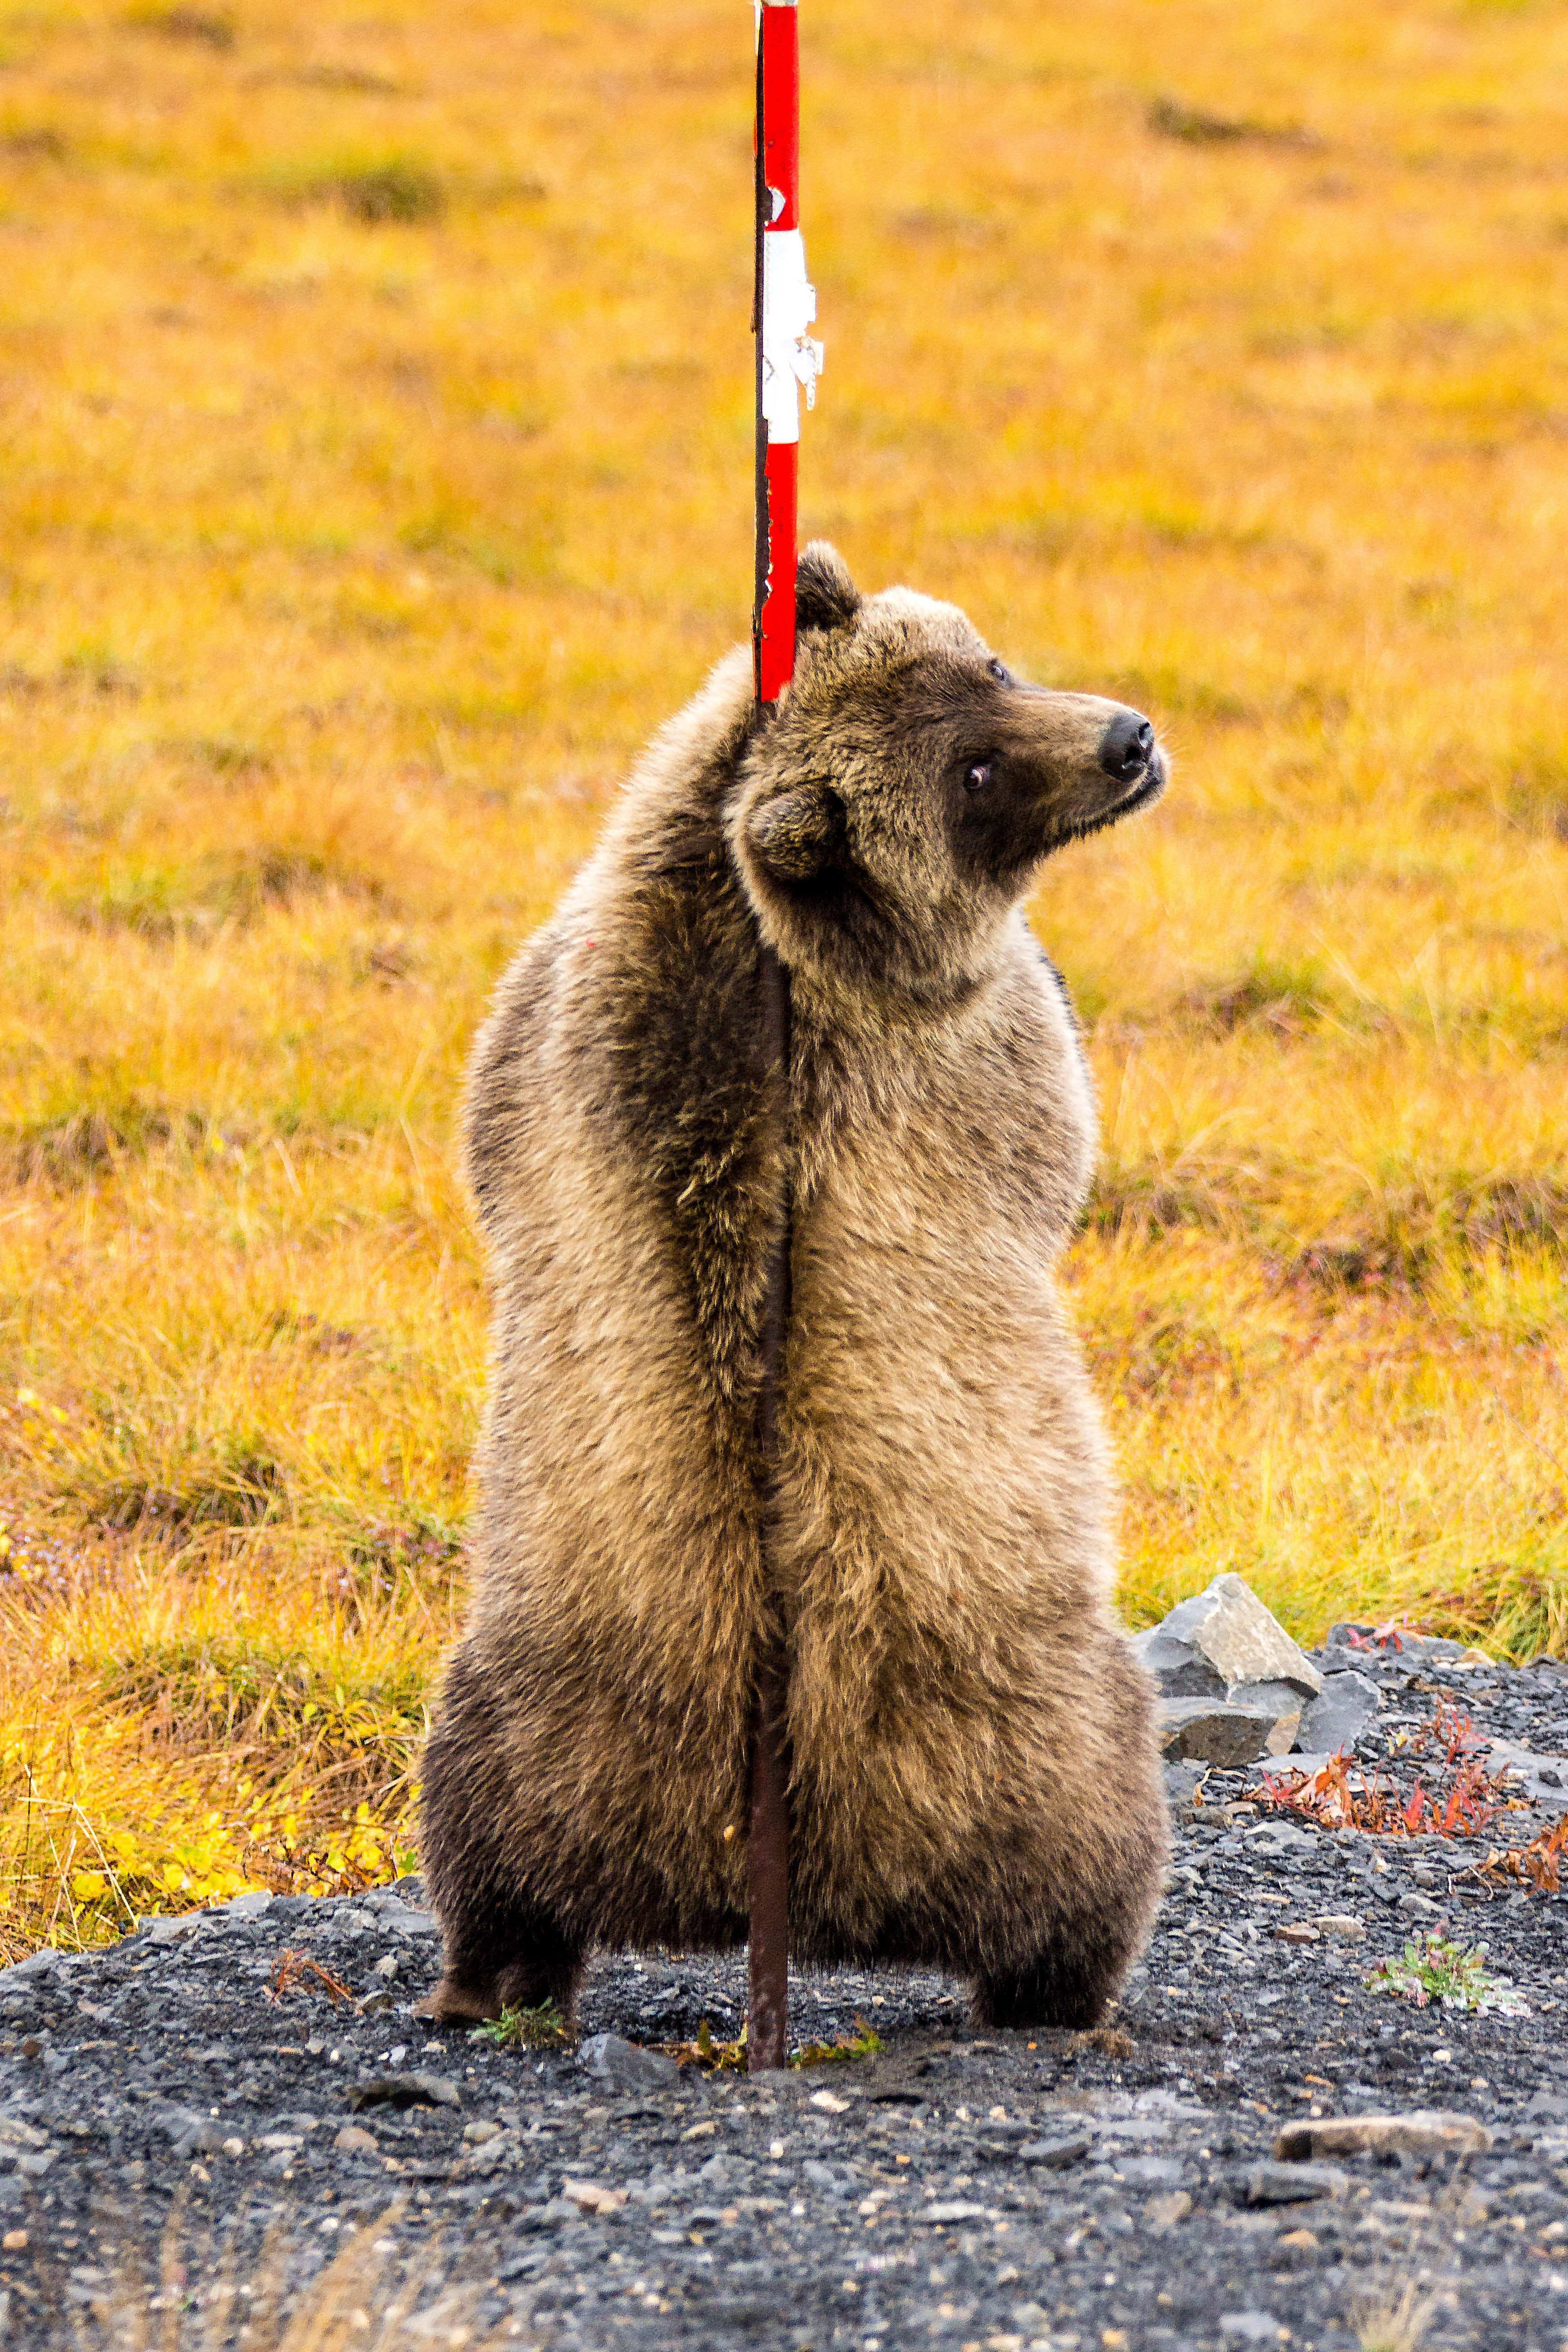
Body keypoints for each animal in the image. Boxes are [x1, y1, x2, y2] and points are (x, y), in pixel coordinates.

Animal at [423, 545, 1171, 2023]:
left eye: (990, 666)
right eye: (972, 774)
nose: (1125, 740)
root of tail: (761, 1858)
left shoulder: (541, 1032)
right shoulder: (958, 1054)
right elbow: (1056, 1117)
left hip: (536, 1709)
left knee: (491, 1853)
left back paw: (486, 1976)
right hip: (1019, 1734)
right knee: (1089, 1848)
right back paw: (1070, 1991)